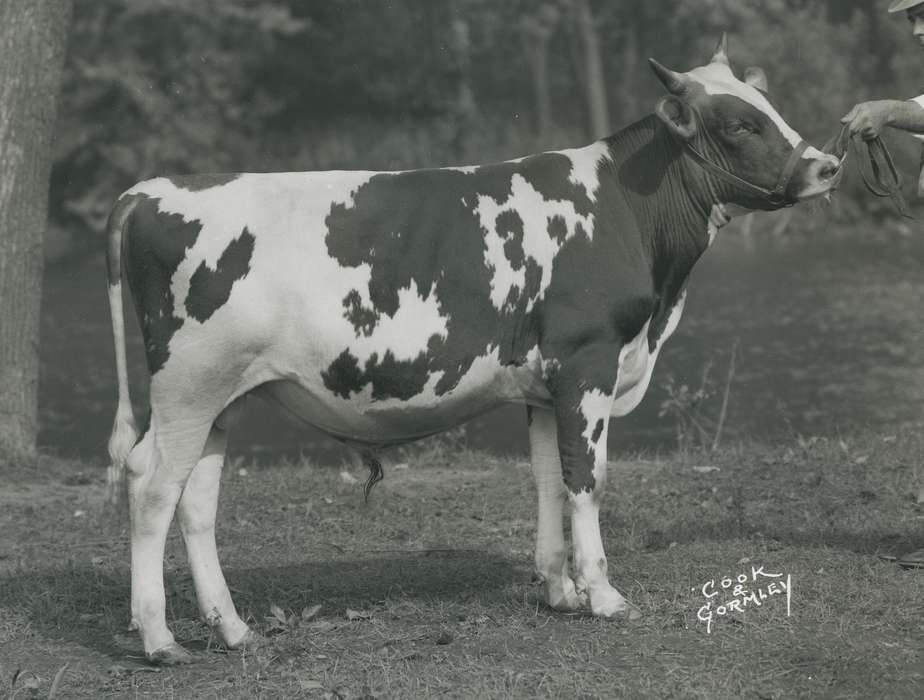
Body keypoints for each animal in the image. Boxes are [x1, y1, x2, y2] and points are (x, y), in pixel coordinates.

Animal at [105, 37, 840, 664]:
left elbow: (548, 477)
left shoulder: (545, 384)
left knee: (195, 500)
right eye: (740, 125)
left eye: (767, 104)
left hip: (223, 395)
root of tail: (148, 190)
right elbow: (587, 479)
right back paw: (159, 640)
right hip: (187, 386)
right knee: (151, 485)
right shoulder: (588, 360)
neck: (626, 216)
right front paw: (604, 596)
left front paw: (559, 590)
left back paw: (232, 629)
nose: (827, 165)